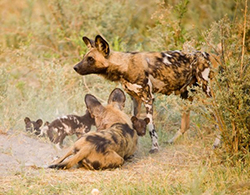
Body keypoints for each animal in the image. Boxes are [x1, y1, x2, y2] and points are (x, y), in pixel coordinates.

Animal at [73, 34, 220, 152]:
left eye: (90, 59)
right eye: (85, 57)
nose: (75, 67)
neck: (125, 66)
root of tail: (212, 55)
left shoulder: (148, 98)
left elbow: (151, 128)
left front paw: (154, 147)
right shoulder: (136, 99)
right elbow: (133, 121)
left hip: (207, 93)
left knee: (218, 116)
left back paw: (216, 143)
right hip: (186, 95)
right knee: (185, 124)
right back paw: (172, 141)